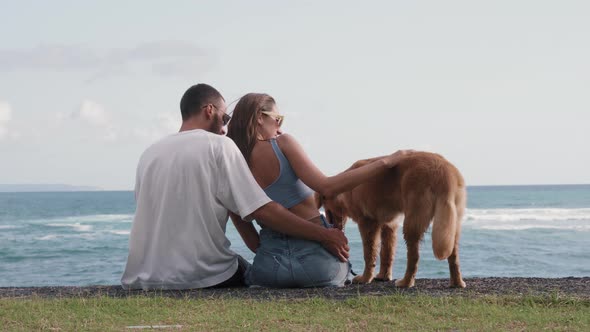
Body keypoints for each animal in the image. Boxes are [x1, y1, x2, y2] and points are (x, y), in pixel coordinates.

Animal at [316, 153, 470, 288]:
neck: (348, 189)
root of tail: (443, 173)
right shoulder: (389, 224)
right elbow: (386, 253)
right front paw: (383, 276)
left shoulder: (367, 222)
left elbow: (369, 254)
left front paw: (366, 278)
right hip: (451, 223)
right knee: (453, 256)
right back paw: (457, 283)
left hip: (412, 220)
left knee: (414, 257)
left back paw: (406, 282)